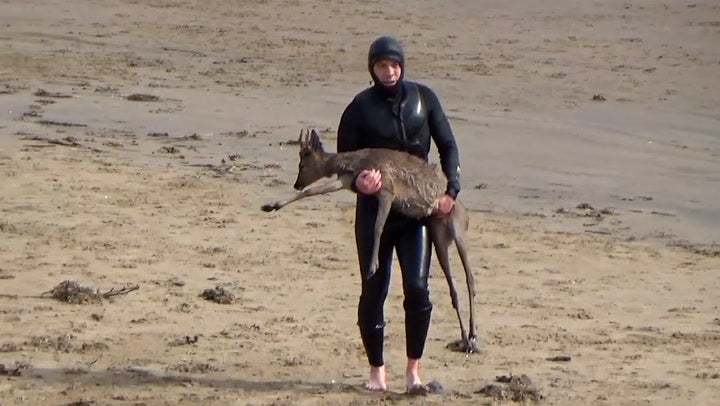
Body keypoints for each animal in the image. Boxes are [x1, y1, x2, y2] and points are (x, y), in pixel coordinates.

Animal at [261, 128, 479, 353]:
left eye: (302, 164)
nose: (296, 183)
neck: (355, 163)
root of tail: (464, 215)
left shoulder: (387, 187)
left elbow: (378, 227)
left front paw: (373, 266)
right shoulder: (346, 180)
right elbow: (311, 191)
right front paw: (271, 206)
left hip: (457, 228)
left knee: (470, 278)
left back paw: (472, 335)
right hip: (438, 236)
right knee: (453, 287)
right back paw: (465, 338)